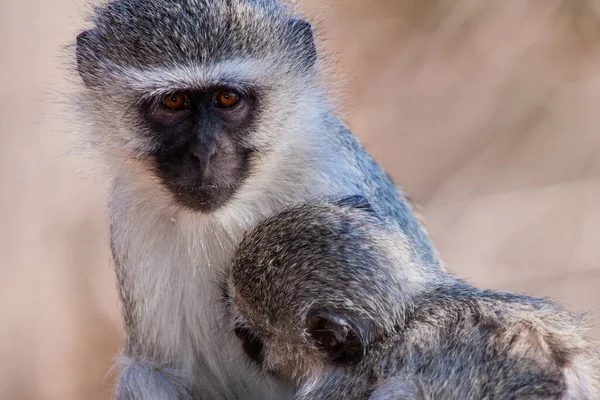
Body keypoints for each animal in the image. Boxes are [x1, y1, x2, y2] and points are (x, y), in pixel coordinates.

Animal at [74, 0, 440, 400]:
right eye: (173, 101)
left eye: (227, 98)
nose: (204, 153)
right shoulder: (130, 220)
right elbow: (160, 371)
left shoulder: (332, 173)